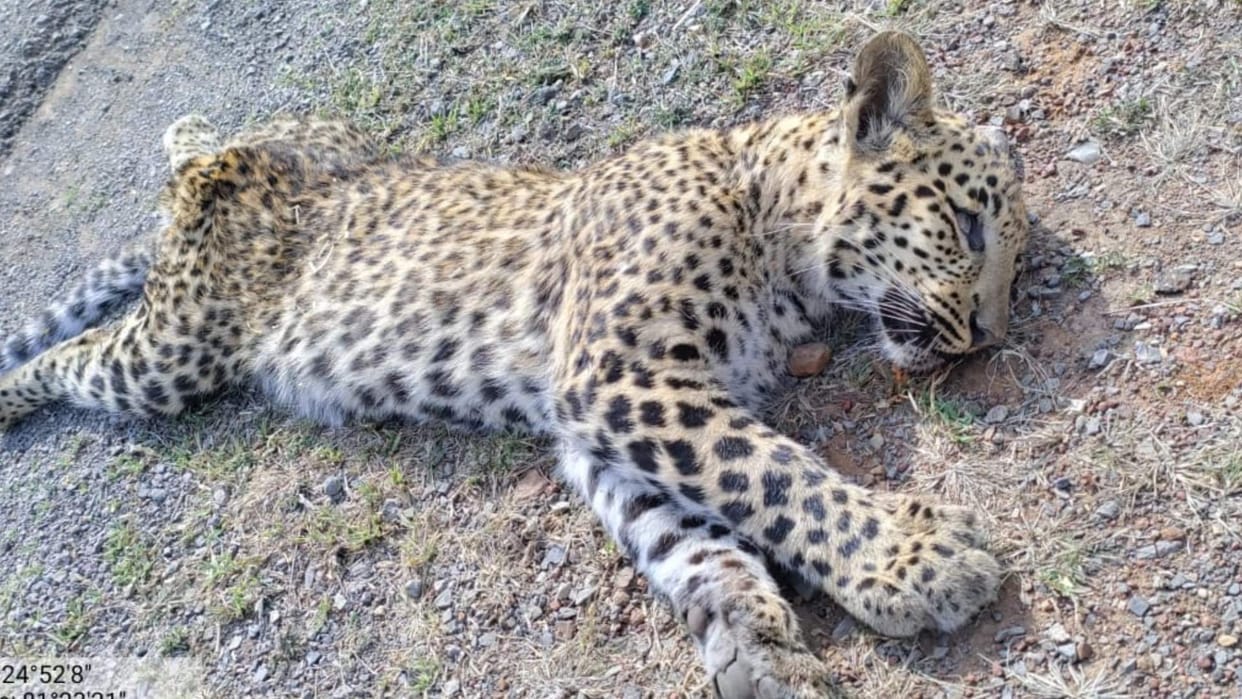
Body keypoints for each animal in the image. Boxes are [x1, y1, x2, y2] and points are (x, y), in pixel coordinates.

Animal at [0, 32, 1027, 698]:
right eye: (966, 225)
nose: (987, 333)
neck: (768, 218)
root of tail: (228, 162)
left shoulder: (600, 426)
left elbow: (692, 537)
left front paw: (757, 644)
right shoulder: (620, 375)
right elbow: (775, 473)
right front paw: (915, 559)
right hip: (171, 352)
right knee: (75, 351)